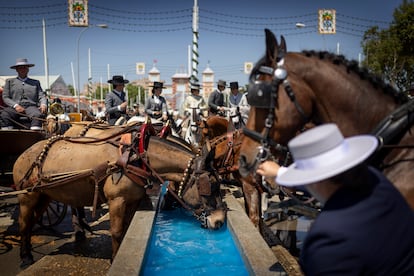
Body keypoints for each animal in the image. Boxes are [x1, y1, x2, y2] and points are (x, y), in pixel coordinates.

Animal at [12, 123, 226, 268]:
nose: (220, 222)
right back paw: (25, 257)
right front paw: (114, 258)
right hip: (27, 197)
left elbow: (125, 228)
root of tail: (24, 153)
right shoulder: (117, 200)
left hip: (44, 195)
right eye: (211, 186)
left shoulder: (133, 201)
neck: (138, 157)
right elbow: (115, 231)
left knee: (32, 222)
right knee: (24, 223)